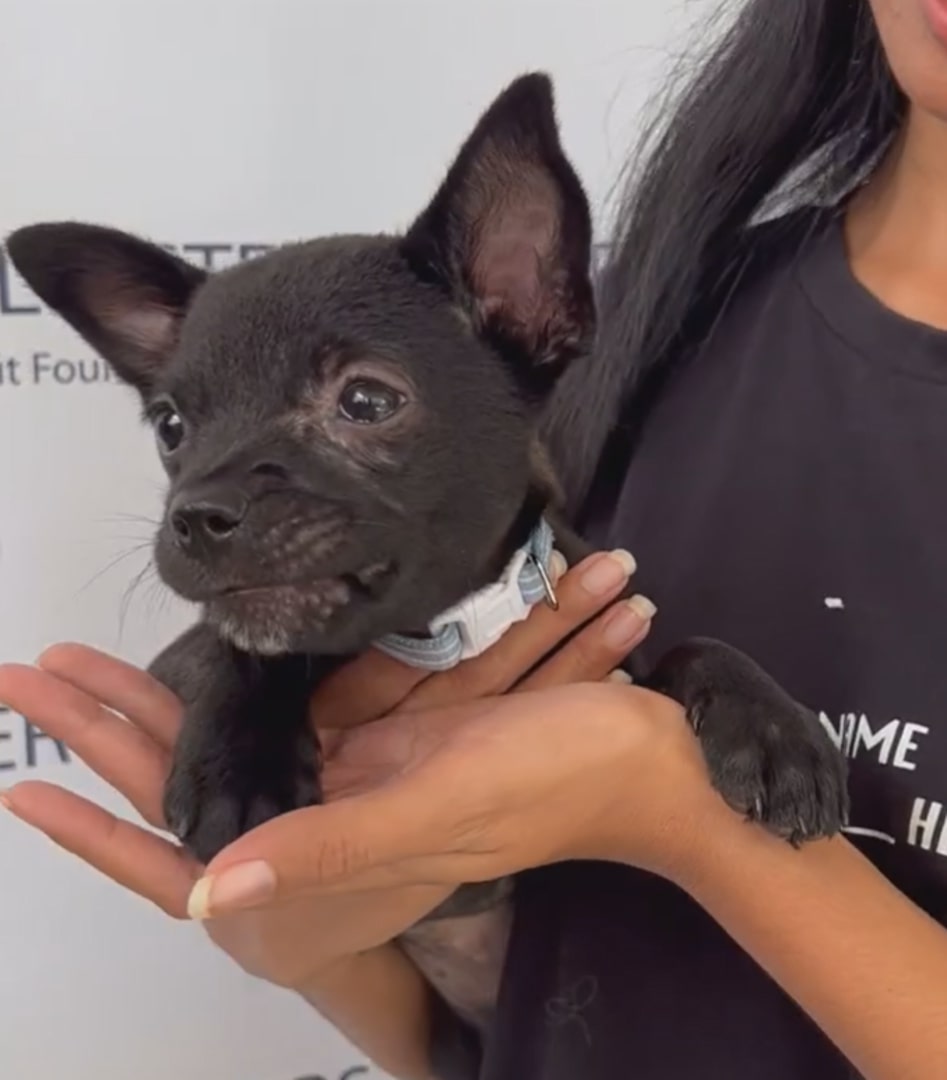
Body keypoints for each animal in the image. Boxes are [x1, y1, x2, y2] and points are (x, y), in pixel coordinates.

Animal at [5, 73, 850, 1028]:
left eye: (367, 402)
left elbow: (690, 643)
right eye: (170, 428)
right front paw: (239, 770)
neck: (449, 626)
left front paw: (775, 729)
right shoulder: (183, 656)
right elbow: (240, 650)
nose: (195, 513)